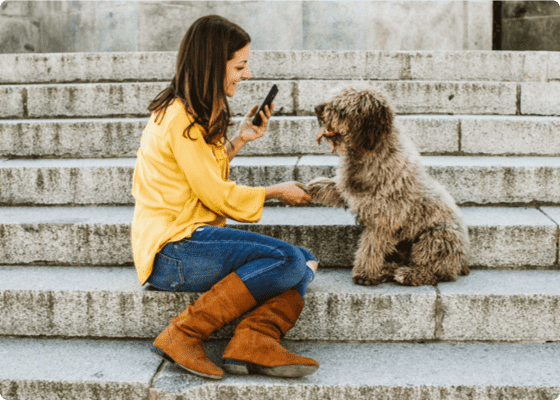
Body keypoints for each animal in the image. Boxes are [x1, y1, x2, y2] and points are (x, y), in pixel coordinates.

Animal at [304, 86, 470, 288]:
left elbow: (371, 247)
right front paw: (308, 188)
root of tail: (463, 263)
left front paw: (365, 274)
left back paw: (408, 274)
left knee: (434, 271)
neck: (369, 151)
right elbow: (332, 186)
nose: (316, 108)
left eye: (342, 107)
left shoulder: (384, 217)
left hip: (437, 236)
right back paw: (387, 269)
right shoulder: (349, 190)